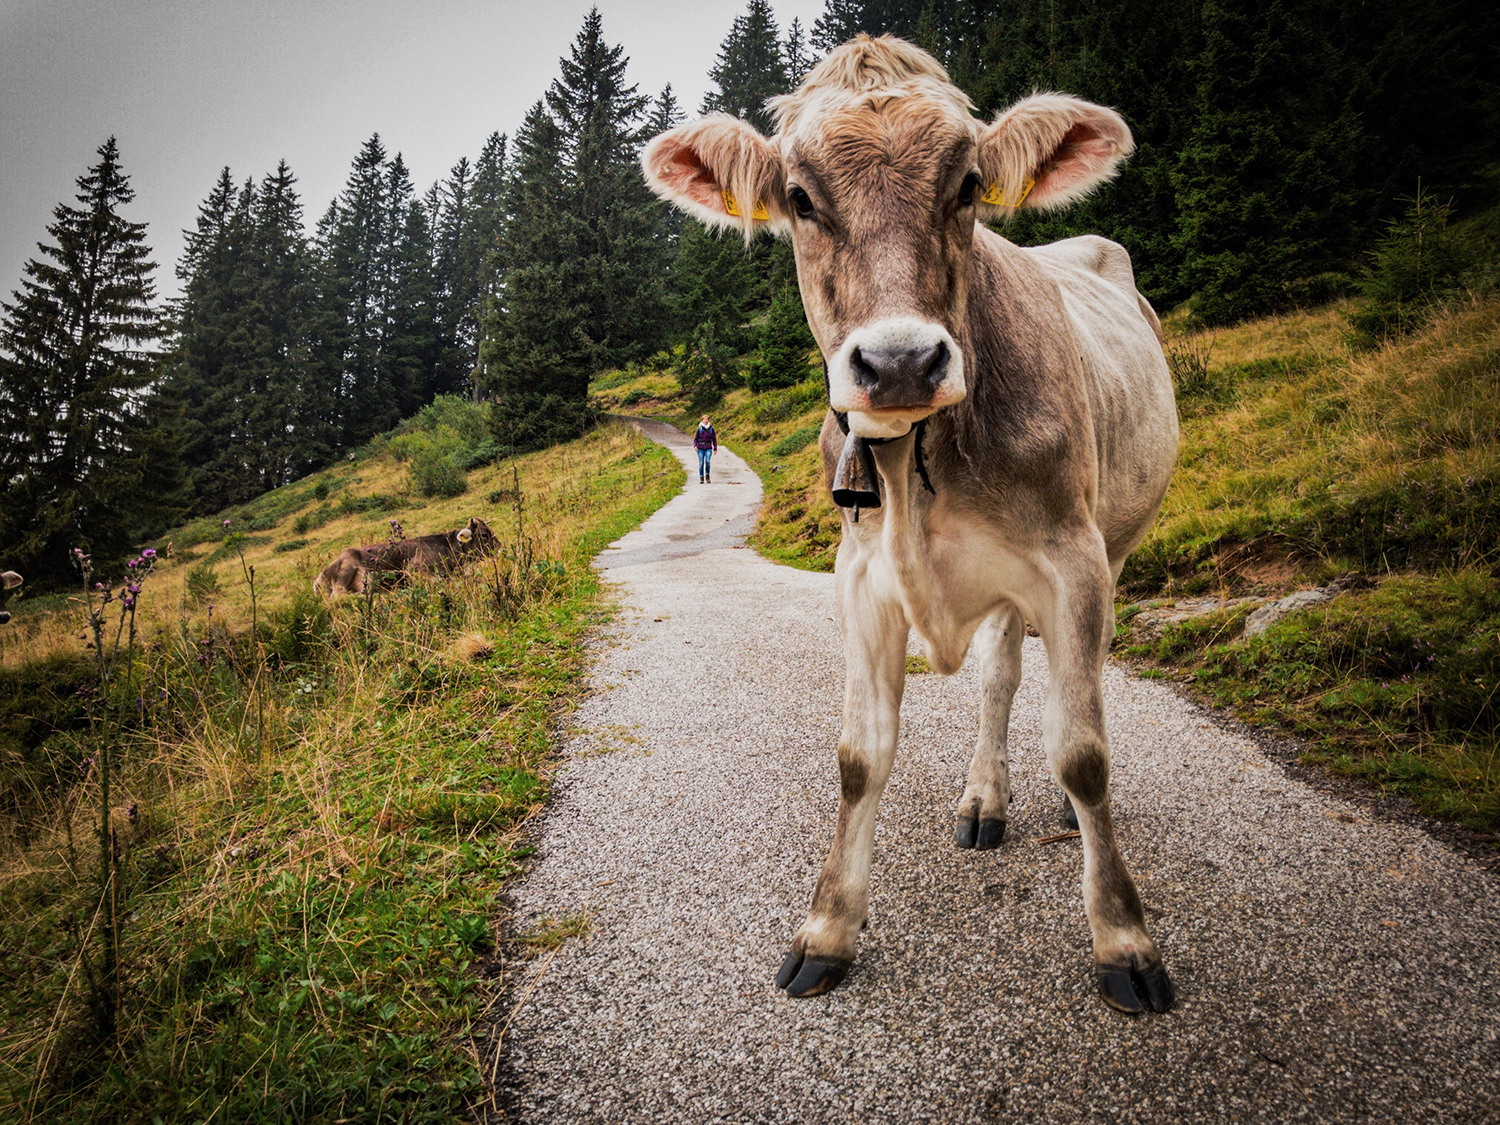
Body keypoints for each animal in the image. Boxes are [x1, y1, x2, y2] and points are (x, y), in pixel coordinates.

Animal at [310, 519, 498, 600]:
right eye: (484, 535)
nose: (500, 547)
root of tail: (317, 580)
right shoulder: (414, 567)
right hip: (349, 568)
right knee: (338, 595)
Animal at [645, 39, 1182, 1020]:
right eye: (800, 197)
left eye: (967, 184)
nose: (899, 361)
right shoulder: (861, 576)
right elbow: (860, 756)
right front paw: (827, 929)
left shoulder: (1073, 560)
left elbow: (1083, 752)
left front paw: (1124, 939)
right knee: (1003, 672)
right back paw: (984, 798)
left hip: (1114, 540)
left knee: (1041, 677)